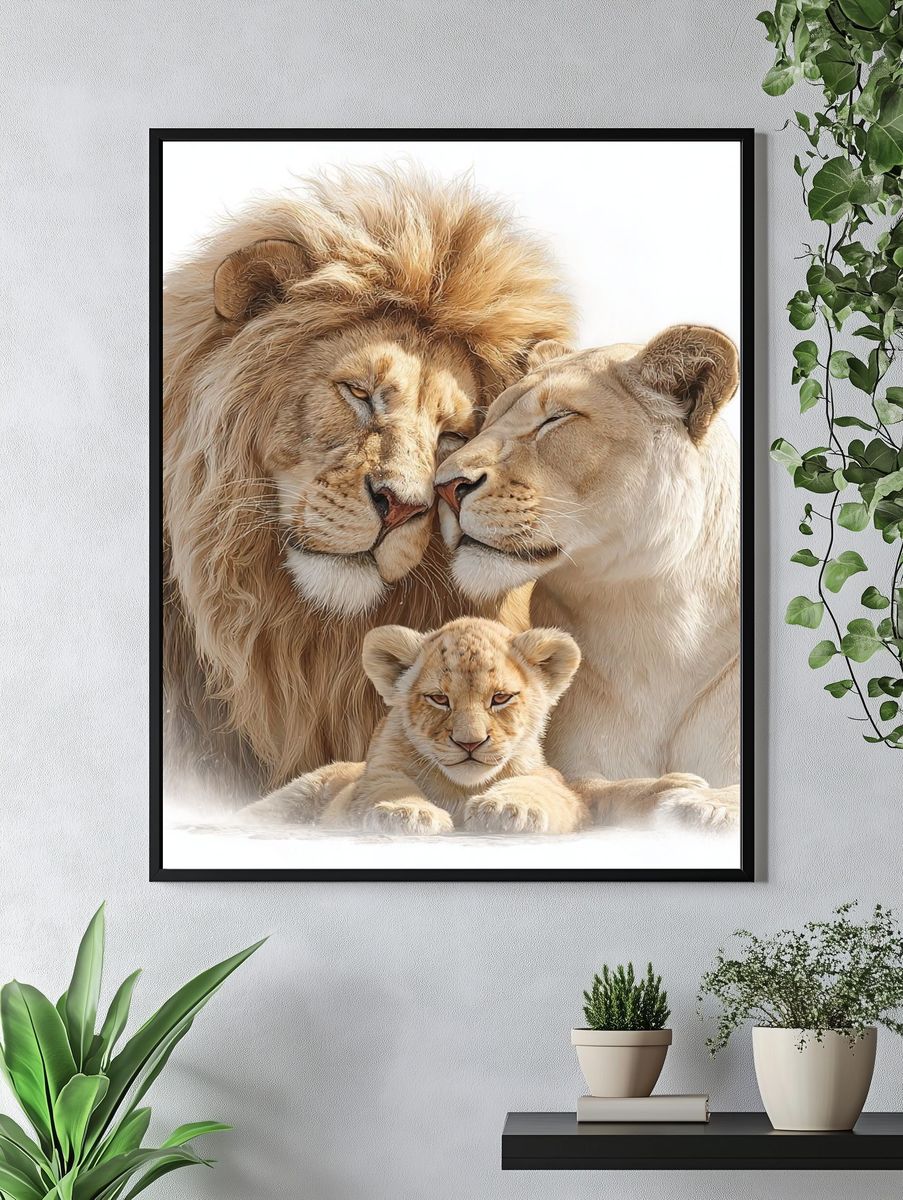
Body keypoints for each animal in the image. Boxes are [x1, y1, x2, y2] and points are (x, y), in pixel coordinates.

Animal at [434, 326, 741, 828]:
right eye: (485, 424)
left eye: (556, 418)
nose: (443, 486)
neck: (653, 616)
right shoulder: (570, 760)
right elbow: (601, 792)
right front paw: (673, 792)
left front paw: (709, 804)